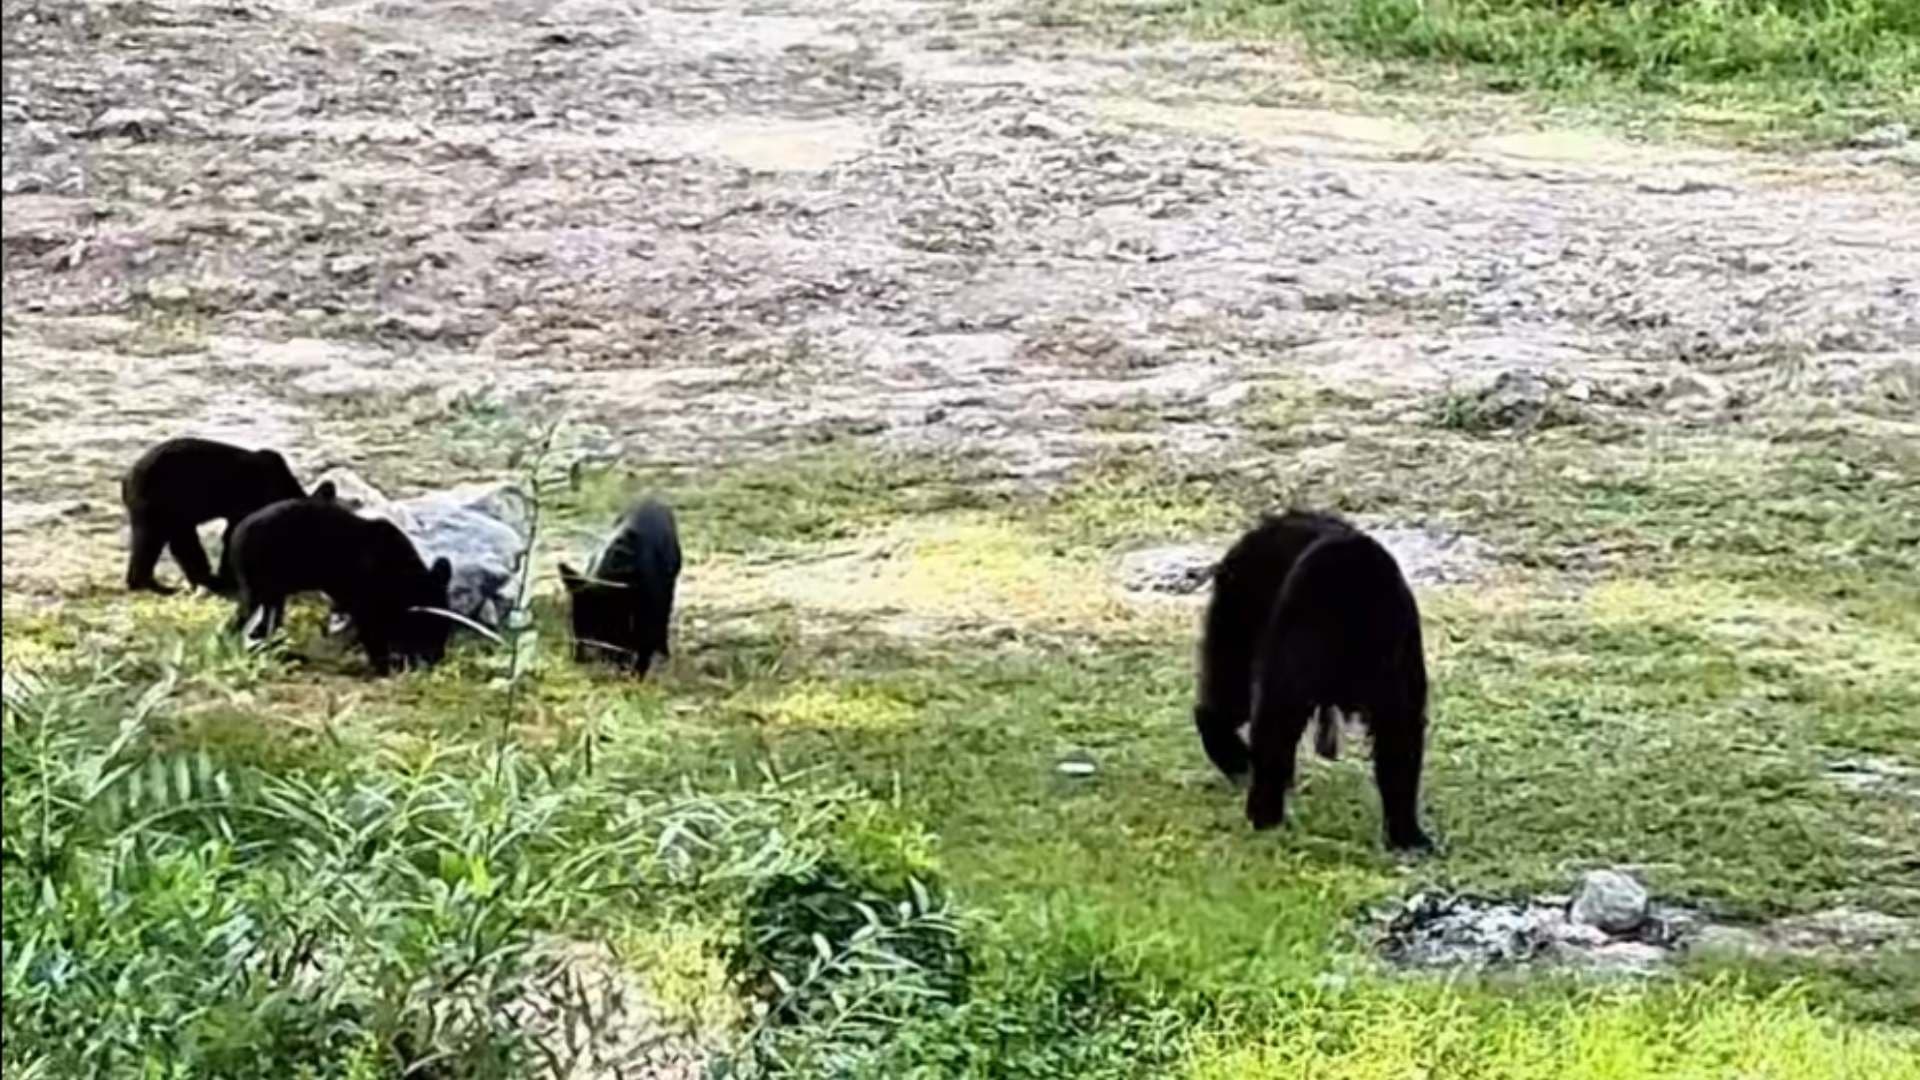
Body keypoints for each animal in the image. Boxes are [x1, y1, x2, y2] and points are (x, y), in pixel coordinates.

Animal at [121, 437, 311, 595]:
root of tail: (127, 479)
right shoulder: (254, 498)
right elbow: (235, 534)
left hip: (174, 507)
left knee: (181, 539)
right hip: (156, 500)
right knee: (152, 540)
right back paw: (157, 585)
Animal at [226, 495, 455, 675]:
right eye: (430, 628)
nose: (438, 658)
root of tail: (239, 531)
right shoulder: (367, 606)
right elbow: (374, 637)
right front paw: (386, 667)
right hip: (264, 587)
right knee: (253, 622)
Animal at [560, 499, 682, 676]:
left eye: (598, 622)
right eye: (573, 619)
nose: (577, 660)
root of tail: (654, 501)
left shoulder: (650, 606)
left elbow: (644, 639)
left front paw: (637, 675)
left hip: (670, 584)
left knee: (663, 622)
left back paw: (663, 655)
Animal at [1195, 510, 1433, 851]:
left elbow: (1399, 750)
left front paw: (1407, 837)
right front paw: (1265, 816)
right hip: (1235, 636)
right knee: (1221, 704)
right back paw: (1240, 766)